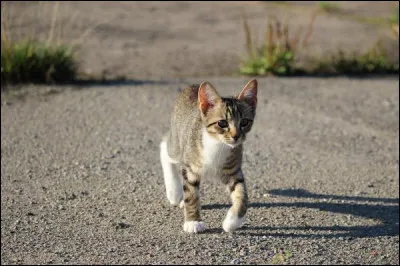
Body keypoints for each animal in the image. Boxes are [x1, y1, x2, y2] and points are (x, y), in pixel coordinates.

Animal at [160, 79, 258, 233]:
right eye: (222, 123)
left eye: (244, 122)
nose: (236, 136)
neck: (217, 144)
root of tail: (193, 86)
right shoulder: (190, 169)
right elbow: (191, 194)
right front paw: (193, 221)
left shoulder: (234, 171)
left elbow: (242, 194)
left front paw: (232, 221)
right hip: (177, 144)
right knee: (164, 147)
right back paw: (174, 193)